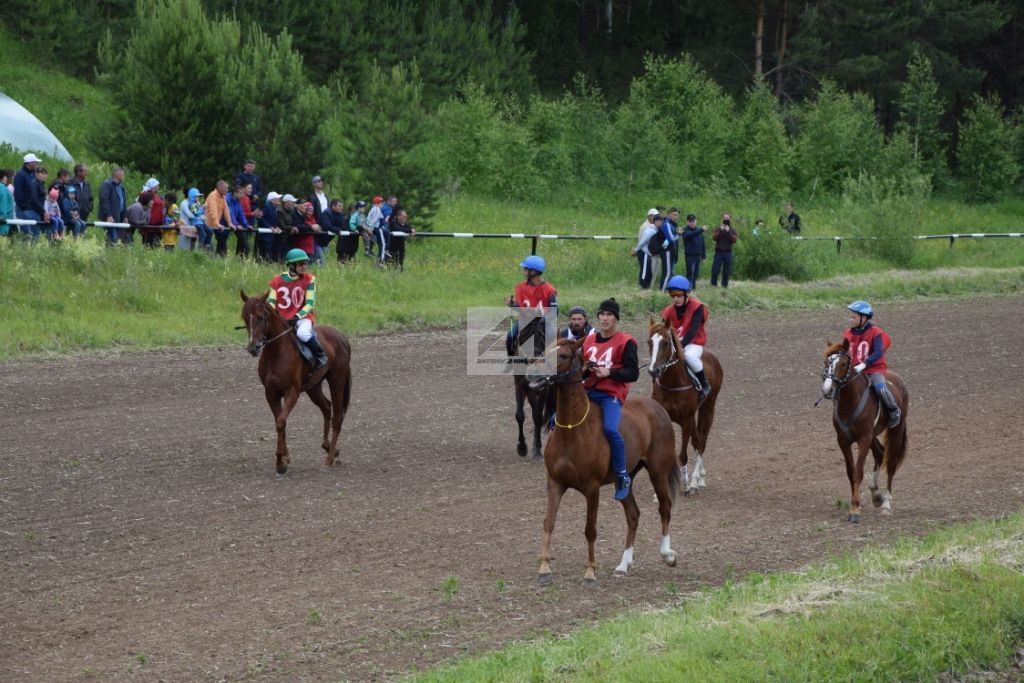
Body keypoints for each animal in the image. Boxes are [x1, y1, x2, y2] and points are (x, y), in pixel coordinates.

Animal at [238, 290, 352, 475]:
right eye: (245, 317)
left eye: (261, 317)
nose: (253, 348)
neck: (277, 353)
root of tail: (342, 337)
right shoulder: (271, 393)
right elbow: (279, 421)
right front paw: (285, 458)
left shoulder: (292, 392)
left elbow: (281, 421)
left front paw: (280, 462)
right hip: (314, 387)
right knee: (326, 407)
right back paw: (331, 449)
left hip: (337, 380)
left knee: (337, 417)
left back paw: (328, 460)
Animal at [528, 339, 679, 585]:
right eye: (546, 349)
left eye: (563, 355)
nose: (532, 374)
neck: (573, 430)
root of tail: (657, 408)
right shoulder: (555, 483)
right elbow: (548, 522)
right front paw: (544, 569)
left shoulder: (592, 489)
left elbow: (590, 529)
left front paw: (590, 572)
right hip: (624, 480)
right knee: (633, 515)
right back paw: (623, 565)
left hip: (658, 471)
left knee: (664, 507)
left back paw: (667, 555)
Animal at [643, 321, 724, 497]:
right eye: (649, 342)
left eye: (666, 342)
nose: (653, 370)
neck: (672, 383)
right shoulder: (667, 420)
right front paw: (659, 492)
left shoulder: (686, 420)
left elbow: (682, 455)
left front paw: (686, 485)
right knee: (697, 440)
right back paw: (701, 477)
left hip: (708, 408)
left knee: (701, 442)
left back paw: (695, 481)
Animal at [819, 337, 909, 524]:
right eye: (826, 362)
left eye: (843, 363)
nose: (827, 389)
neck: (850, 402)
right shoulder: (843, 440)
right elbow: (850, 472)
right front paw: (857, 504)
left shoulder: (863, 439)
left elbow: (858, 471)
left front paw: (854, 510)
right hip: (873, 435)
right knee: (880, 453)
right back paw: (876, 495)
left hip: (896, 430)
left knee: (891, 463)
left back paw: (886, 503)